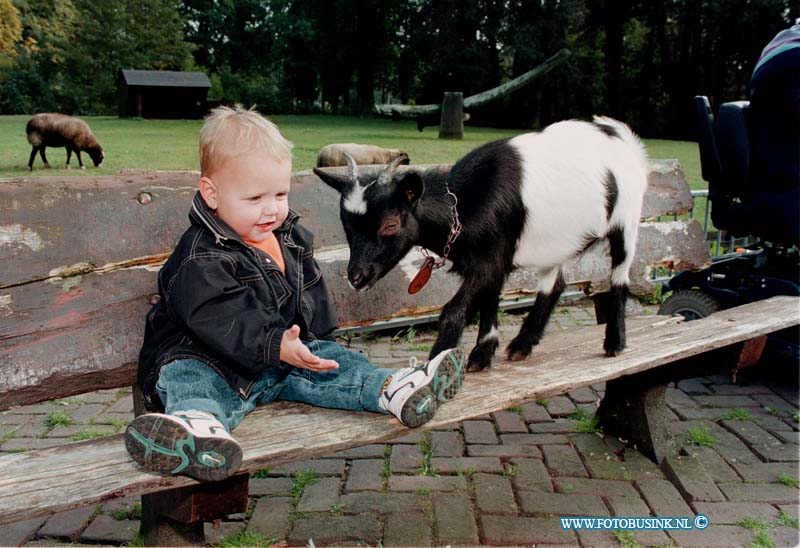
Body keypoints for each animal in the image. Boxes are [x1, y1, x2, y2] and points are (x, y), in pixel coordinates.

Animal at [314, 116, 648, 372]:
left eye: (391, 224)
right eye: (346, 225)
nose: (357, 276)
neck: (462, 206)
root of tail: (621, 134)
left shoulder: (490, 259)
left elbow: (453, 309)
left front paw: (438, 365)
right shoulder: (495, 258)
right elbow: (490, 302)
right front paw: (483, 354)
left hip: (627, 218)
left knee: (620, 275)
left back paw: (615, 342)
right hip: (560, 242)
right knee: (554, 285)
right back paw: (522, 345)